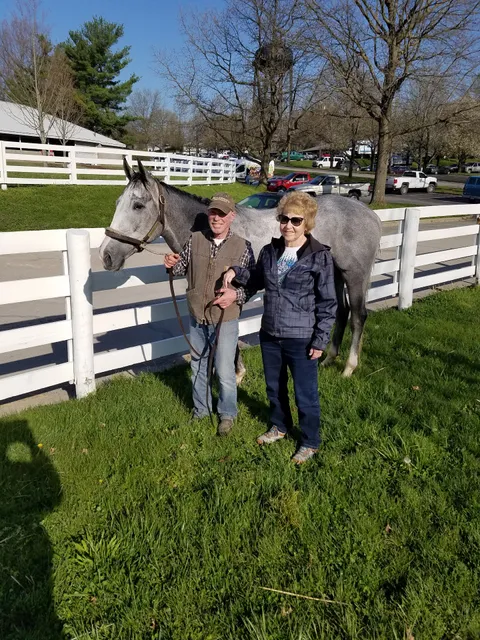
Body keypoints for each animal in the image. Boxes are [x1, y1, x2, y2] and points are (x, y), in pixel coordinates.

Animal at [99, 159, 382, 377]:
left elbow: (227, 330)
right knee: (341, 312)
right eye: (117, 202)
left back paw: (348, 367)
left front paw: (236, 374)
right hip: (334, 275)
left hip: (355, 276)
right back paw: (328, 359)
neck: (216, 233)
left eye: (138, 205)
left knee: (358, 316)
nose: (106, 255)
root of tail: (370, 214)